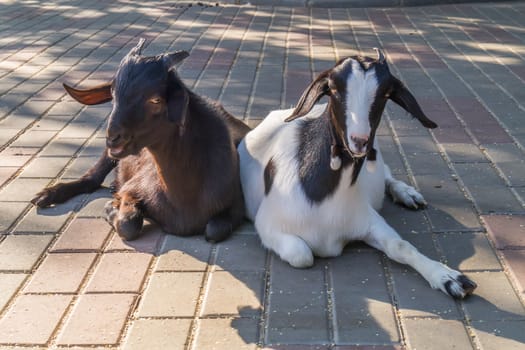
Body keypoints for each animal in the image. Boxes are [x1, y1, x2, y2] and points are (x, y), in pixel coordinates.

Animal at [239, 49, 476, 300]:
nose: (360, 140)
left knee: (386, 174)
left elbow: (400, 246)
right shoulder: (267, 225)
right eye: (333, 89)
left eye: (386, 93)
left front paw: (449, 278)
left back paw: (407, 193)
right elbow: (302, 254)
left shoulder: (367, 218)